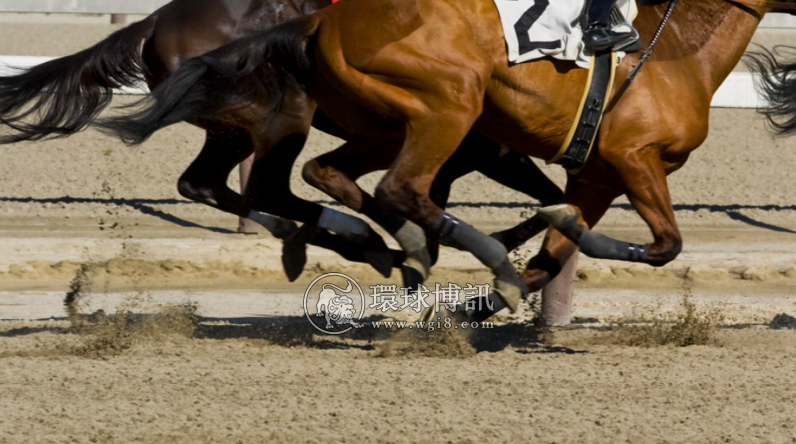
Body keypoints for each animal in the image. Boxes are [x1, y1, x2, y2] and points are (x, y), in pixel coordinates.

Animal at [0, 0, 564, 284]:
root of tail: (156, 20)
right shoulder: (485, 146)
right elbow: (549, 197)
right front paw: (497, 245)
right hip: (281, 109)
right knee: (263, 187)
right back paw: (346, 236)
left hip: (231, 127)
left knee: (205, 184)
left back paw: (313, 235)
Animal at [95, 0, 776, 320]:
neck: (674, 49)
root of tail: (317, 23)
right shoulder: (631, 159)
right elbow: (662, 245)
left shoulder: (598, 174)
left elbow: (554, 250)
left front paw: (482, 301)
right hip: (447, 102)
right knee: (391, 189)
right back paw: (434, 248)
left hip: (380, 121)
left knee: (316, 175)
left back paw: (384, 245)